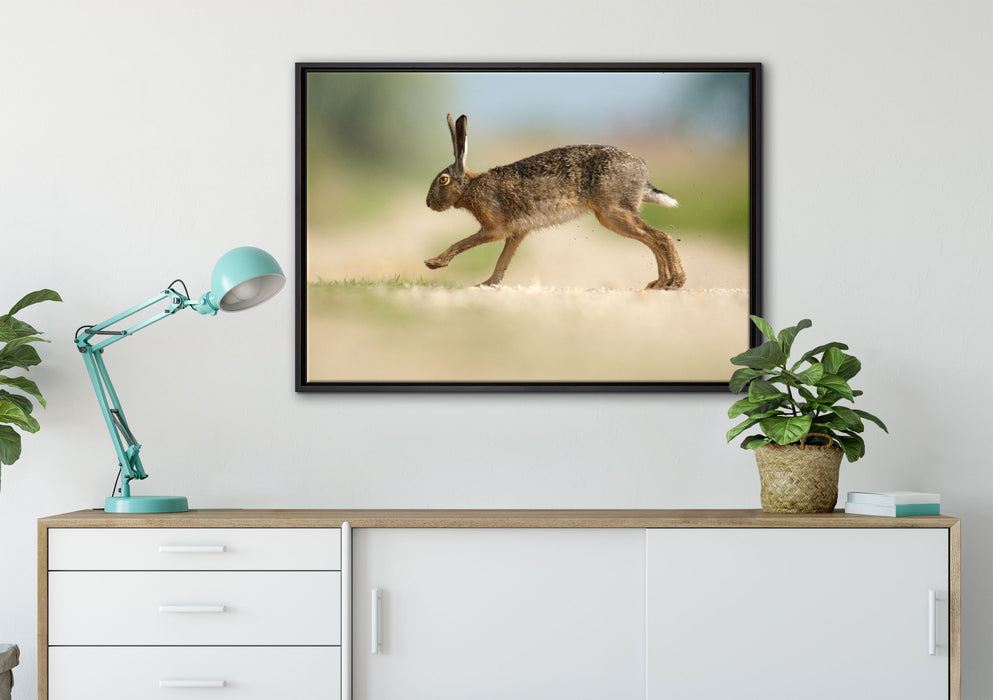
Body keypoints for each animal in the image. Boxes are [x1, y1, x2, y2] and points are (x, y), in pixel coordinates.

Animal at [425, 113, 686, 290]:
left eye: (443, 180)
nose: (428, 203)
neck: (470, 187)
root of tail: (643, 174)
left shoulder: (495, 228)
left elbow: (463, 243)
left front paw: (434, 263)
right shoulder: (516, 233)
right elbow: (503, 261)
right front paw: (487, 284)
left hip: (613, 213)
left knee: (661, 237)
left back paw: (674, 281)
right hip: (616, 214)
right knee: (654, 240)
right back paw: (659, 283)